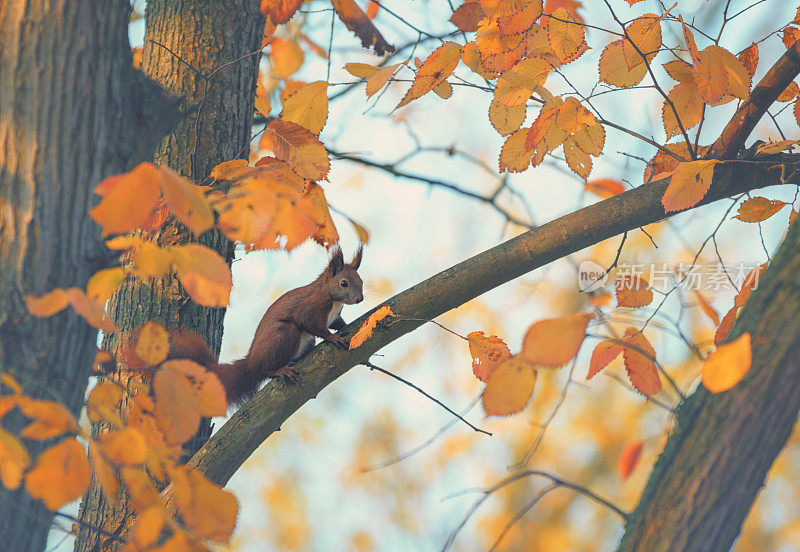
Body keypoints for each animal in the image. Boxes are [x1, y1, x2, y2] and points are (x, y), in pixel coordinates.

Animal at [167, 246, 364, 406]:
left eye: (361, 281)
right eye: (344, 283)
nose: (360, 299)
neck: (333, 299)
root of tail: (251, 363)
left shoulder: (334, 316)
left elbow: (338, 322)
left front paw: (344, 326)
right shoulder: (311, 306)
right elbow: (311, 324)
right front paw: (333, 337)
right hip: (283, 336)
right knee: (266, 369)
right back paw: (280, 370)